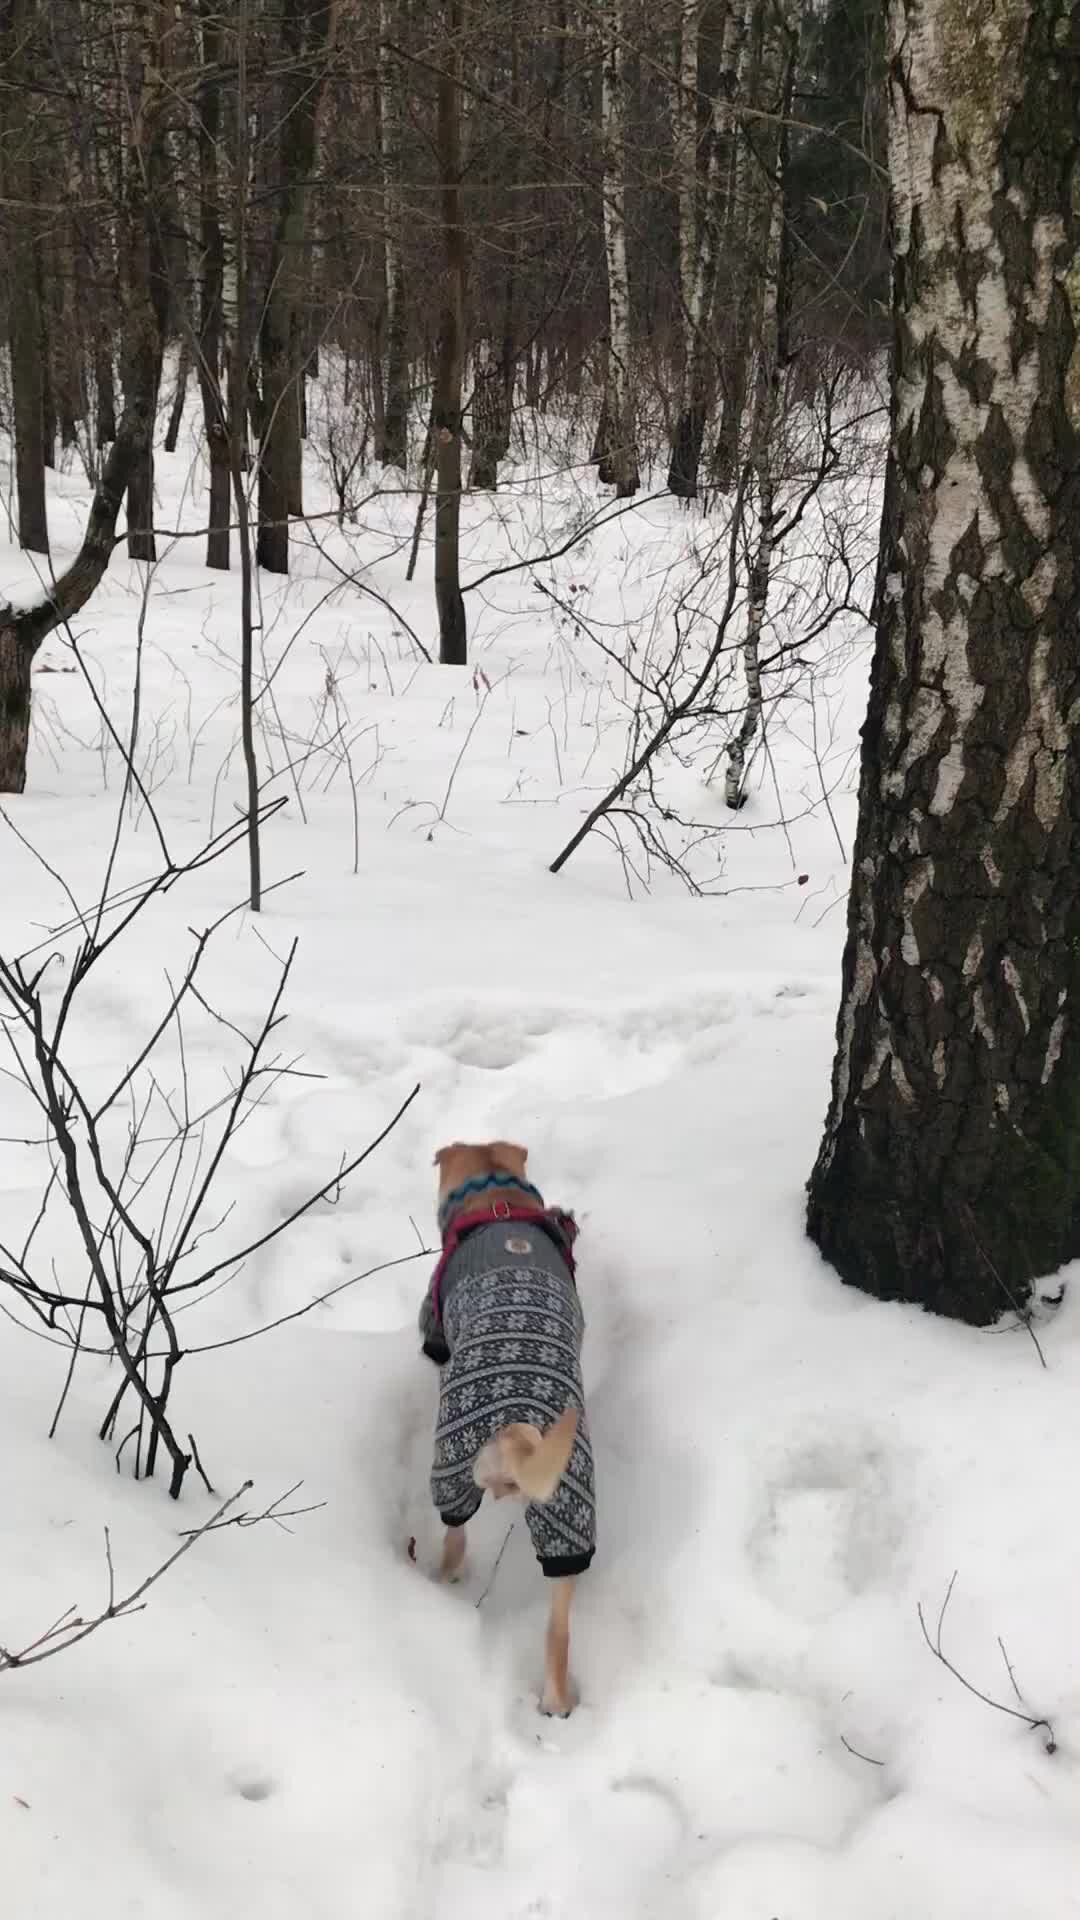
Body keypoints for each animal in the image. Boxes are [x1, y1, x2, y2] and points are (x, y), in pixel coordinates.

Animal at [417, 1136, 591, 1728]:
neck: (497, 1200)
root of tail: (516, 1428)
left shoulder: (434, 1330)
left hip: (449, 1467)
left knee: (454, 1536)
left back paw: (437, 1584)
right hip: (569, 1513)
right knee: (559, 1628)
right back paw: (558, 1703)